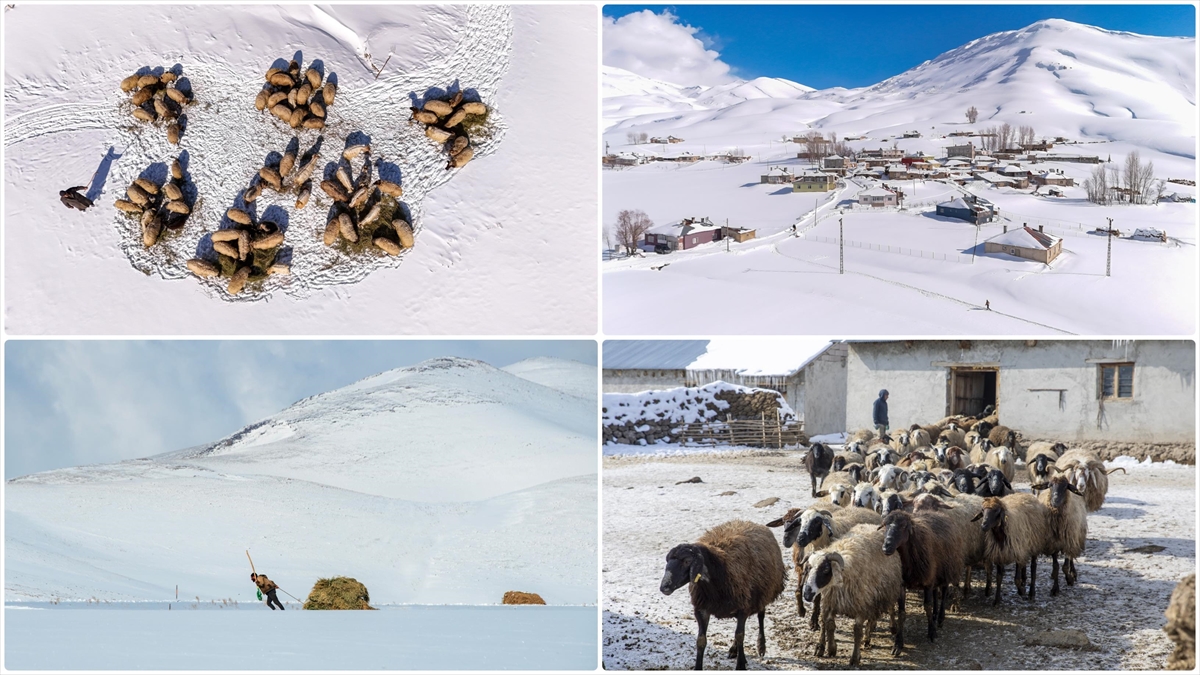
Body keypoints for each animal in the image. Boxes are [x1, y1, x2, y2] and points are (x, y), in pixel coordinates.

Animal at [657, 516, 787, 662]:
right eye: (667, 561)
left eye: (687, 561)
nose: (664, 586)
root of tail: (751, 523)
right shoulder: (702, 608)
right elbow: (701, 641)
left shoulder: (743, 607)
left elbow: (740, 636)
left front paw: (741, 663)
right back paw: (734, 649)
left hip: (763, 592)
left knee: (761, 615)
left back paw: (761, 646)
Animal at [806, 521, 902, 662]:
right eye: (809, 568)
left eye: (825, 570)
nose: (806, 594)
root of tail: (871, 525)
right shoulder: (831, 601)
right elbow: (828, 624)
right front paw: (829, 648)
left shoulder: (861, 605)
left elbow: (857, 631)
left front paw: (855, 657)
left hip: (881, 594)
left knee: (883, 612)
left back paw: (879, 633)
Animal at [883, 506, 964, 648]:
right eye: (886, 524)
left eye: (903, 525)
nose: (886, 546)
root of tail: (938, 513)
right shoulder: (902, 584)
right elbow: (902, 613)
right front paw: (898, 642)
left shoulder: (927, 582)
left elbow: (927, 607)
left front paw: (932, 633)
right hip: (936, 574)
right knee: (936, 592)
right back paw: (936, 616)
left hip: (946, 569)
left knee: (943, 591)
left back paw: (940, 618)